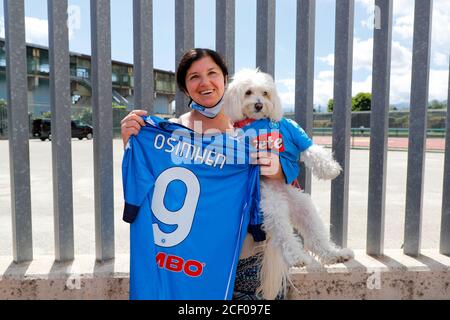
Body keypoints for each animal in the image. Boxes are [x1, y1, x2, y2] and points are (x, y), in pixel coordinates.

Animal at [223, 68, 354, 300]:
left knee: (315, 234)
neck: (259, 122)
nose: (259, 104)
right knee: (284, 236)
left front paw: (330, 169)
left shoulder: (296, 135)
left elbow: (313, 151)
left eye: (265, 93)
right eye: (248, 92)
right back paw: (297, 257)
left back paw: (335, 254)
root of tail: (284, 199)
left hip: (303, 204)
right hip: (272, 206)